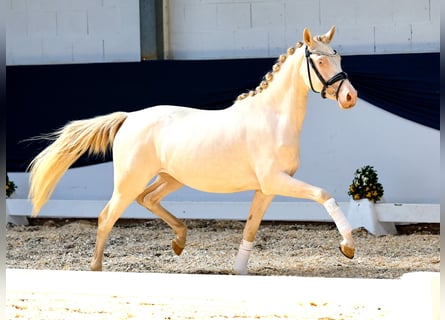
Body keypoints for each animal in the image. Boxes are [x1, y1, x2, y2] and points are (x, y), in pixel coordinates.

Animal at [28, 25, 358, 276]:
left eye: (339, 57)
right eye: (320, 61)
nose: (350, 97)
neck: (273, 118)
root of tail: (129, 118)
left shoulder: (267, 188)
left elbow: (251, 228)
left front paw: (238, 271)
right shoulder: (276, 181)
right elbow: (323, 195)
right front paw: (348, 246)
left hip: (171, 177)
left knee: (147, 198)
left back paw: (179, 241)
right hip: (129, 181)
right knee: (107, 216)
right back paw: (96, 268)